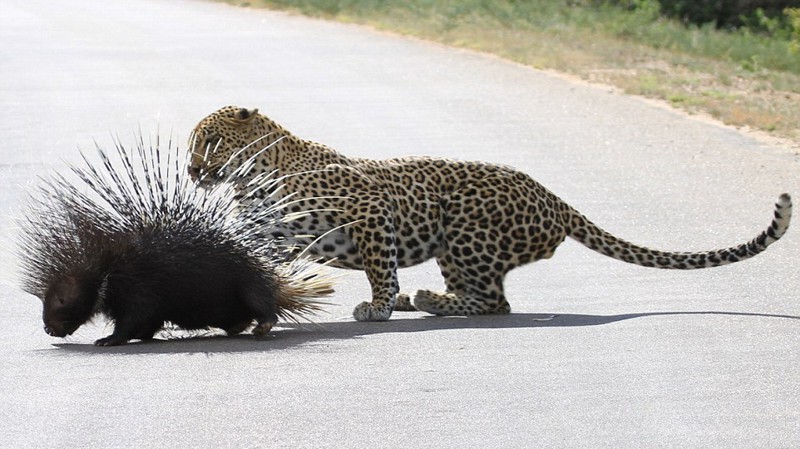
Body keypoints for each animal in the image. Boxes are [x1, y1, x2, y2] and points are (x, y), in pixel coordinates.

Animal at [189, 105, 792, 322]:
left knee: (495, 301)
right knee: (486, 296)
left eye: (209, 143)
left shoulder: (371, 213)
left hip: (464, 232)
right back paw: (423, 299)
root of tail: (551, 195)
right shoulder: (272, 234)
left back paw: (422, 300)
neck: (255, 174)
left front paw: (379, 306)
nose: (193, 171)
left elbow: (379, 267)